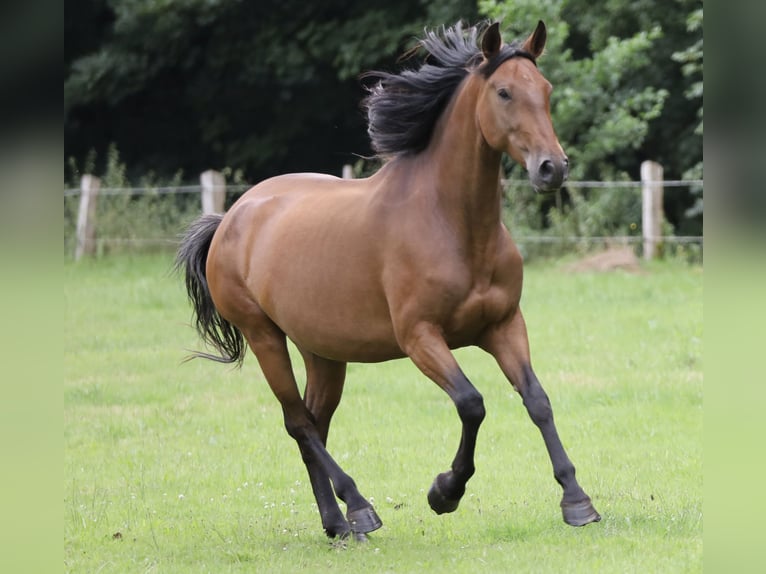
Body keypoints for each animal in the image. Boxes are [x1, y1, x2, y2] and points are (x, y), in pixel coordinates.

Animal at [176, 21, 601, 541]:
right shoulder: (420, 337)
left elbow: (537, 400)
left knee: (314, 424)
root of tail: (232, 216)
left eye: (546, 90)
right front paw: (444, 492)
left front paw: (577, 501)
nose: (552, 168)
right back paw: (360, 508)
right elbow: (472, 403)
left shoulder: (503, 326)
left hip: (322, 351)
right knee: (299, 423)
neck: (452, 225)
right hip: (265, 338)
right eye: (504, 92)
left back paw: (338, 524)